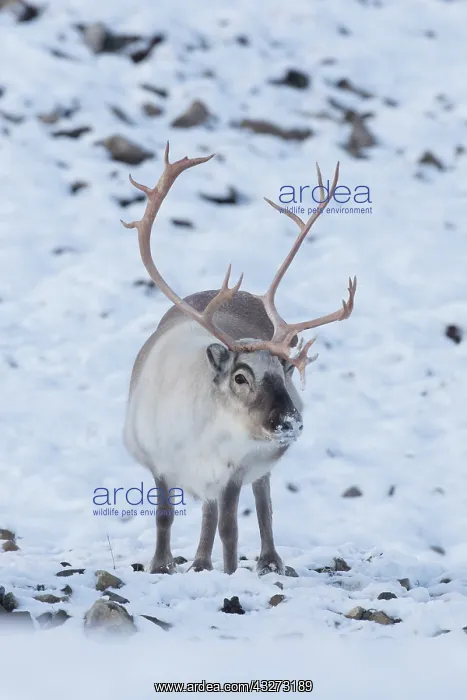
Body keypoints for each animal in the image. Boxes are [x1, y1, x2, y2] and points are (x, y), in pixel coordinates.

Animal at [122, 143, 356, 576]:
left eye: (285, 369)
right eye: (240, 376)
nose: (290, 422)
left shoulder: (234, 470)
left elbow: (231, 528)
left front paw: (230, 572)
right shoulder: (159, 462)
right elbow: (165, 516)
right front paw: (161, 565)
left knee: (261, 503)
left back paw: (268, 560)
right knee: (207, 514)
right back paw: (199, 562)